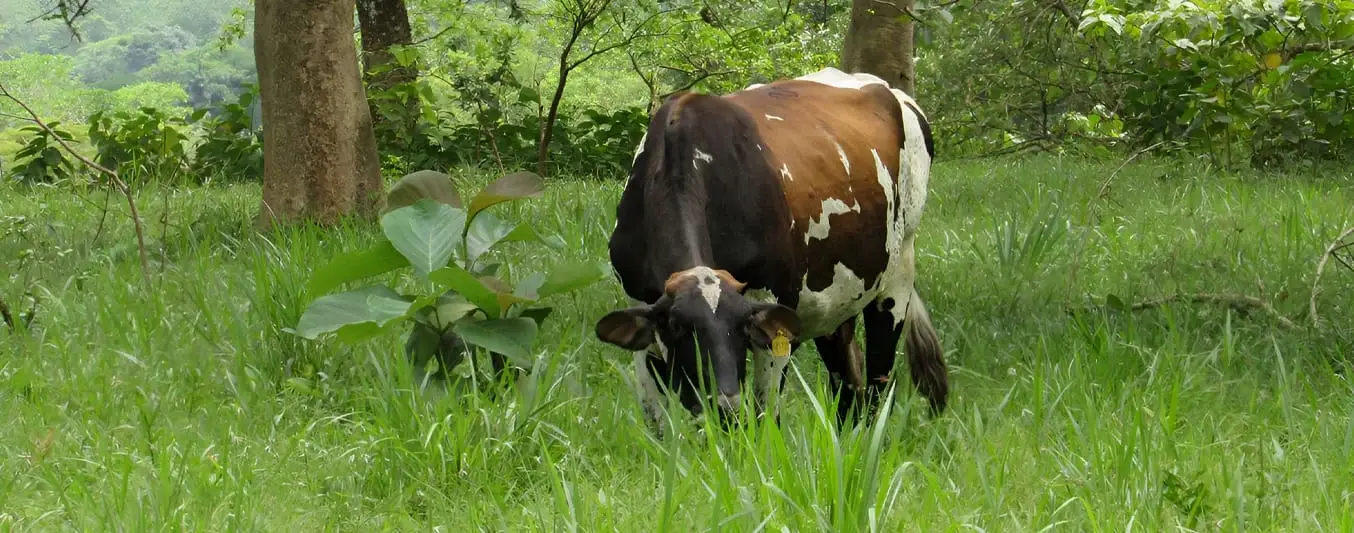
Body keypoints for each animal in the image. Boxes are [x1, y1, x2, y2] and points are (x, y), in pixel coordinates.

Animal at [598, 67, 947, 432]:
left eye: (741, 327)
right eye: (680, 326)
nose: (726, 405)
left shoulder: (774, 310)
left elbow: (766, 415)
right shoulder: (642, 312)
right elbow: (657, 422)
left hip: (898, 271)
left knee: (879, 375)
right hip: (836, 296)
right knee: (848, 378)